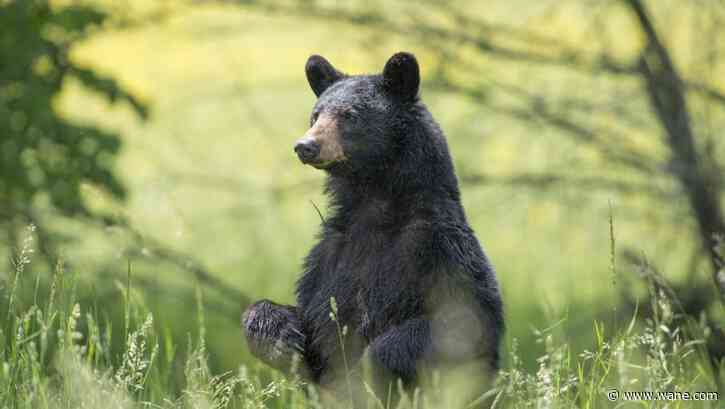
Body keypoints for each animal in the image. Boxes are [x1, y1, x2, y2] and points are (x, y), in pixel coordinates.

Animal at [242, 52, 504, 396]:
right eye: (315, 115)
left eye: (349, 115)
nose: (305, 145)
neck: (374, 208)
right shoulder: (328, 258)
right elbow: (313, 316)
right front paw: (280, 338)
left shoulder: (439, 248)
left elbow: (461, 322)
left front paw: (369, 369)